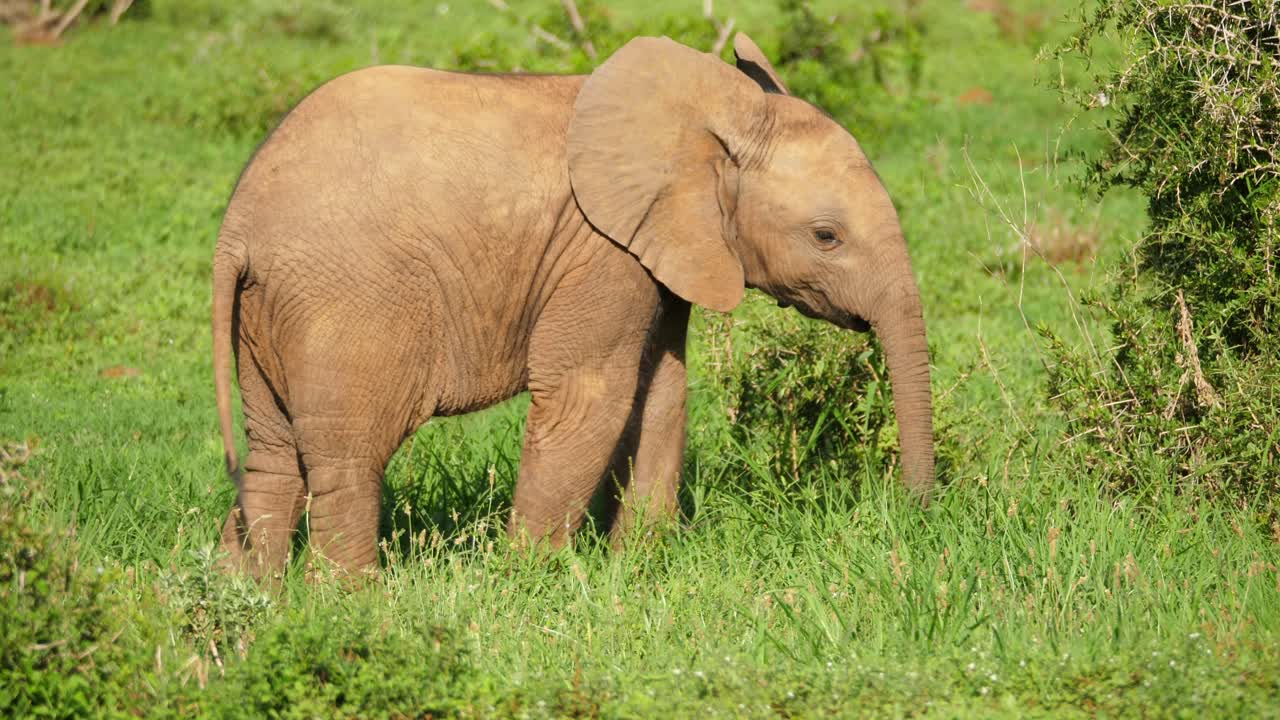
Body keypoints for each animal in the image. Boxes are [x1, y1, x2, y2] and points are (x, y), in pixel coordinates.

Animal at [212, 33, 934, 577]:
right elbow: (591, 397)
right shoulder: (601, 250)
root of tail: (237, 230)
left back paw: (251, 600)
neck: (706, 115)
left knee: (272, 458)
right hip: (349, 301)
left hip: (267, 312)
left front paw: (635, 571)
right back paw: (352, 604)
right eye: (826, 237)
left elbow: (661, 394)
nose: (915, 521)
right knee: (348, 460)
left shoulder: (659, 249)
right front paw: (535, 584)